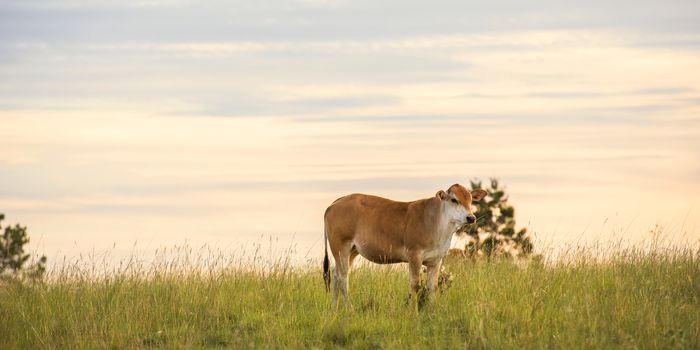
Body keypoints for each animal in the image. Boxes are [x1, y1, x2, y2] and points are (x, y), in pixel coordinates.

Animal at [322, 185, 486, 308]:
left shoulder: (436, 260)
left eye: (470, 199)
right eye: (454, 199)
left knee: (336, 275)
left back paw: (334, 309)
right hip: (341, 247)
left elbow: (433, 286)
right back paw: (349, 309)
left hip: (352, 251)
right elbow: (415, 284)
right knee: (343, 278)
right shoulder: (414, 255)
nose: (471, 217)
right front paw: (413, 311)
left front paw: (433, 310)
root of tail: (337, 202)